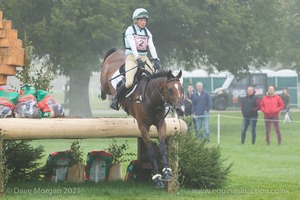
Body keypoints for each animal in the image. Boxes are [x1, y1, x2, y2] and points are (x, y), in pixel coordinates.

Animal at [101, 47, 184, 188]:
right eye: (169, 89)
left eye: (181, 89)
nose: (179, 109)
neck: (151, 98)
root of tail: (116, 52)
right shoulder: (143, 127)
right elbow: (151, 151)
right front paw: (157, 178)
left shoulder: (161, 124)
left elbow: (163, 148)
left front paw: (167, 172)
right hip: (105, 82)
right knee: (104, 87)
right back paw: (108, 98)